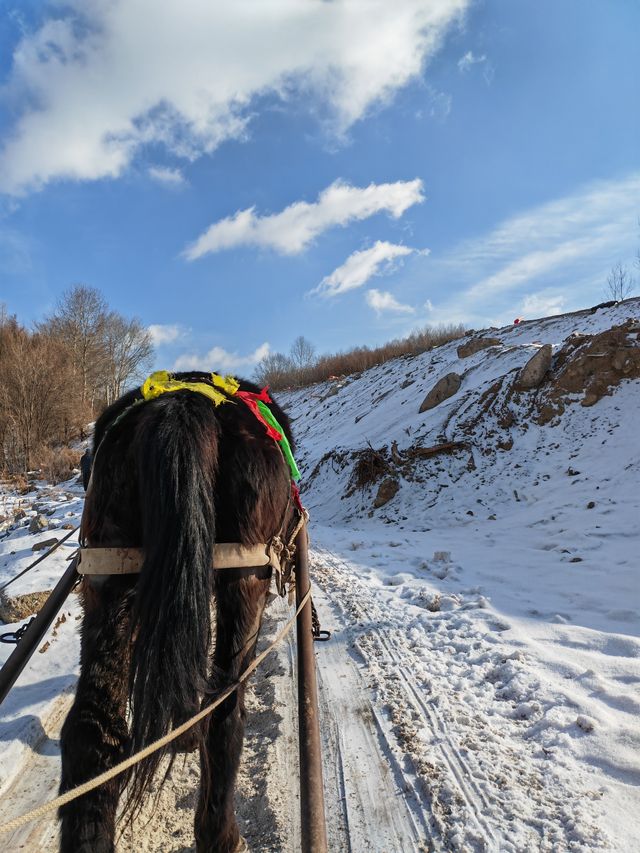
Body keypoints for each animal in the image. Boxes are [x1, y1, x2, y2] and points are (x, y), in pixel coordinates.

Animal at [58, 372, 298, 852]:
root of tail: (185, 405)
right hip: (244, 578)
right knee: (224, 712)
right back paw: (220, 835)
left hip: (109, 573)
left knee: (92, 733)